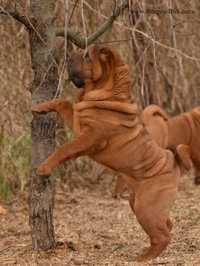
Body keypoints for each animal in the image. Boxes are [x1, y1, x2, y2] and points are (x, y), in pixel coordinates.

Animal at [31, 44, 186, 262]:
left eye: (87, 56)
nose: (69, 55)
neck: (105, 92)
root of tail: (173, 163)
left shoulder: (88, 138)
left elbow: (65, 149)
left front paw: (44, 167)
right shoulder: (78, 122)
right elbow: (62, 103)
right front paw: (40, 107)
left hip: (145, 207)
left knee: (163, 236)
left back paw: (143, 258)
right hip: (137, 201)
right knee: (167, 224)